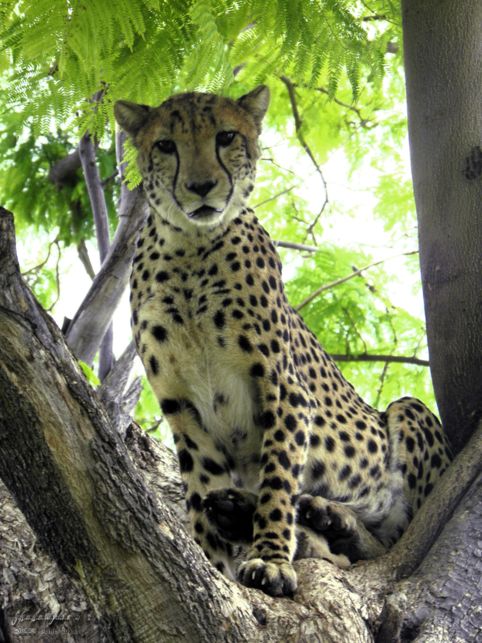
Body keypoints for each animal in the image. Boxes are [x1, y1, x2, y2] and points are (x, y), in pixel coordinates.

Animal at [115, 87, 454, 600]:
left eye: (226, 137)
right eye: (166, 146)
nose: (201, 187)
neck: (191, 247)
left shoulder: (284, 390)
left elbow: (278, 480)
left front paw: (271, 560)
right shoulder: (182, 408)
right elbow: (200, 490)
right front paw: (215, 569)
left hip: (407, 411)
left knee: (389, 541)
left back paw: (321, 518)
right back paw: (278, 513)